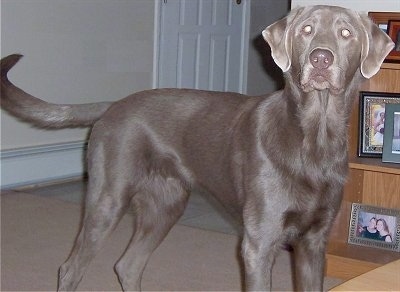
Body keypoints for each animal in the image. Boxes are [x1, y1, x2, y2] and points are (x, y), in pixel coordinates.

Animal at [0, 5, 394, 292]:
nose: (320, 59)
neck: (313, 139)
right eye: (306, 30)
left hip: (167, 203)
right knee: (71, 268)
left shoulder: (314, 243)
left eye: (346, 33)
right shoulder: (260, 242)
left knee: (127, 265)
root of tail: (114, 105)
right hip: (108, 198)